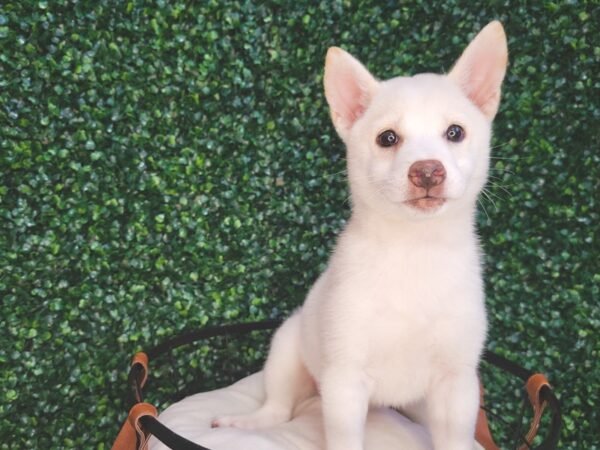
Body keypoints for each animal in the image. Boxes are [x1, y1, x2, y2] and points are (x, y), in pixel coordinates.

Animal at [213, 20, 508, 450]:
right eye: (387, 138)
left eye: (455, 132)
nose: (427, 171)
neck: (414, 249)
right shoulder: (344, 382)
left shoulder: (457, 386)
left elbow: (454, 439)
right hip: (286, 348)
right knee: (278, 408)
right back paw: (248, 422)